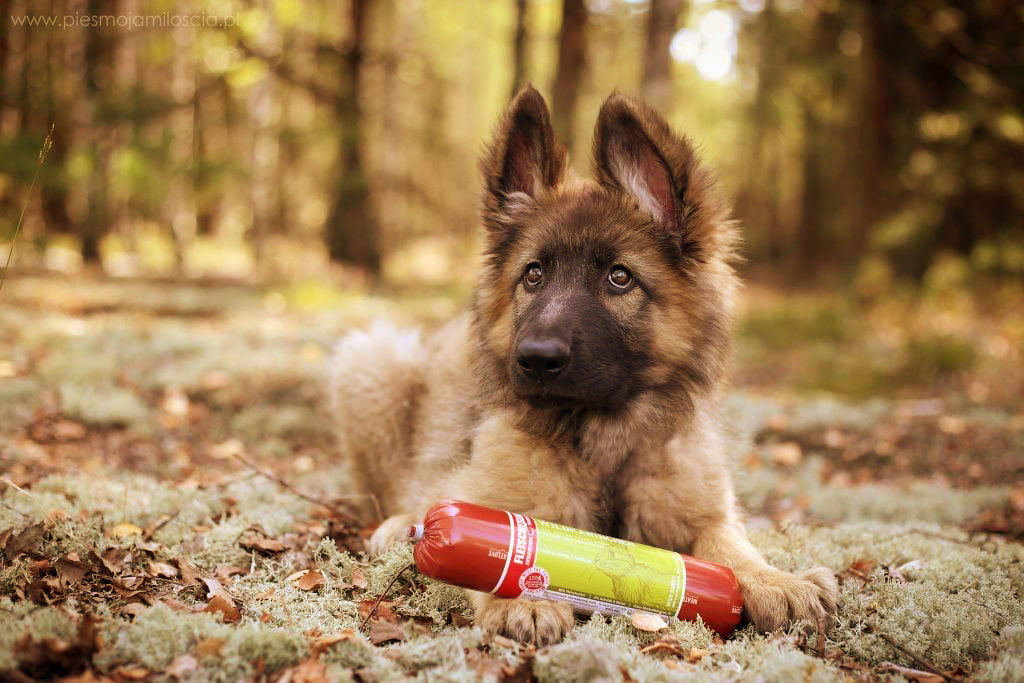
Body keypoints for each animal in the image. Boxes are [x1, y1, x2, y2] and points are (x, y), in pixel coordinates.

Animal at [329, 87, 839, 647]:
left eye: (620, 277)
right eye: (533, 275)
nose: (534, 358)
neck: (605, 443)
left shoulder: (704, 513)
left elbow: (734, 548)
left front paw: (777, 581)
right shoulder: (494, 503)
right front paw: (520, 597)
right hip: (373, 360)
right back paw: (396, 524)